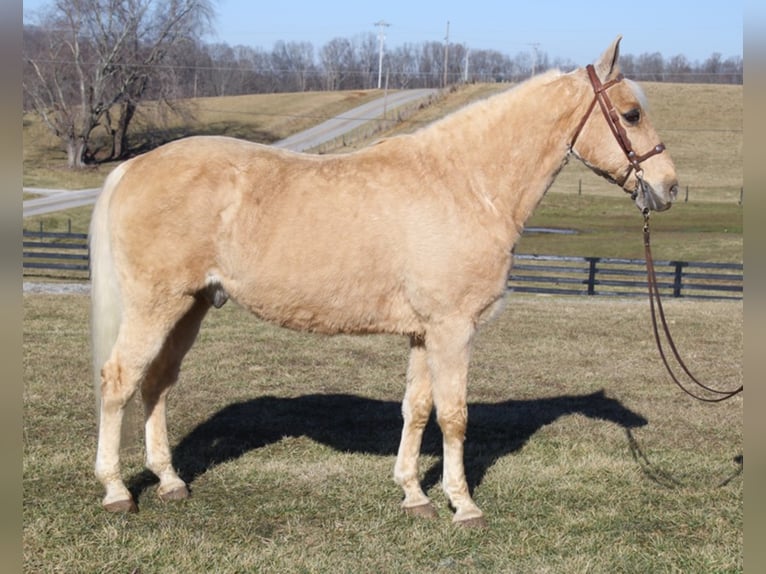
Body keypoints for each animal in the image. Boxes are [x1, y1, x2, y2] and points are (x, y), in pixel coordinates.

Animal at [88, 35, 680, 528]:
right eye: (630, 114)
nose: (670, 187)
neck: (466, 184)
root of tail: (132, 167)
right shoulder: (453, 329)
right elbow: (455, 416)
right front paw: (463, 504)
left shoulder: (423, 333)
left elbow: (416, 410)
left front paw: (413, 495)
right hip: (156, 305)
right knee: (119, 380)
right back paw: (117, 491)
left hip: (189, 306)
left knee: (156, 383)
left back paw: (170, 481)